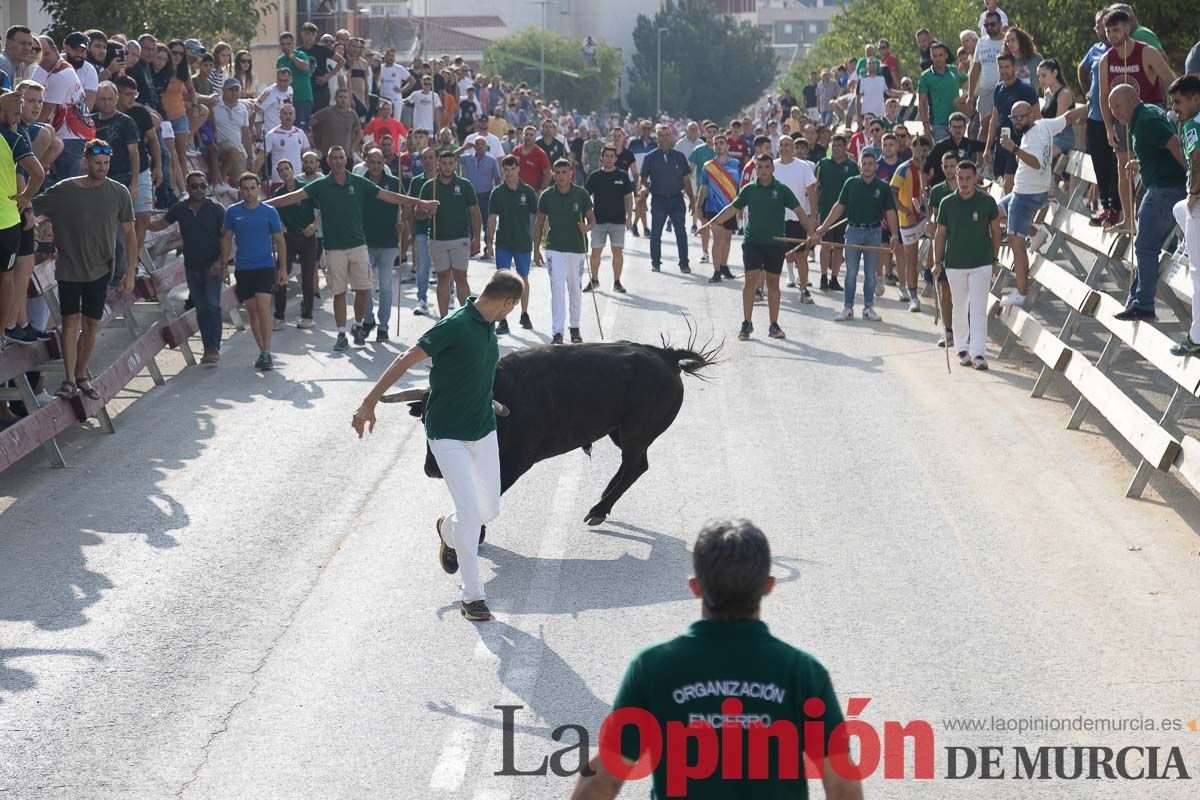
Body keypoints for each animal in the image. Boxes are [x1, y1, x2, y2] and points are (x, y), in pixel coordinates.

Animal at [388, 338, 715, 525]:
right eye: (424, 421)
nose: (432, 470)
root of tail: (665, 355)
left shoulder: (515, 463)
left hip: (637, 431)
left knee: (635, 466)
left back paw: (599, 509)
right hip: (620, 432)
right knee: (632, 466)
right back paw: (601, 501)